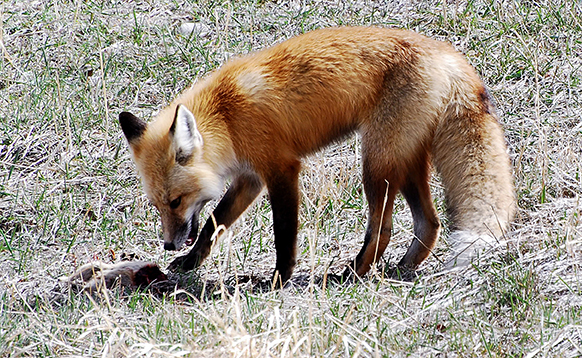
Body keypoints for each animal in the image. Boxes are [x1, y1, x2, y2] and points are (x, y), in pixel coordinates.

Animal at [117, 26, 516, 284]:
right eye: (157, 204)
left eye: (175, 201)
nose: (168, 244)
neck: (226, 115)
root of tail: (448, 54)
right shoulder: (250, 177)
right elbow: (214, 222)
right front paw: (190, 261)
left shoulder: (281, 168)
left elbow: (283, 232)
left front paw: (279, 278)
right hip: (406, 161)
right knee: (429, 224)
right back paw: (402, 269)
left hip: (376, 163)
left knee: (383, 228)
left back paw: (353, 273)